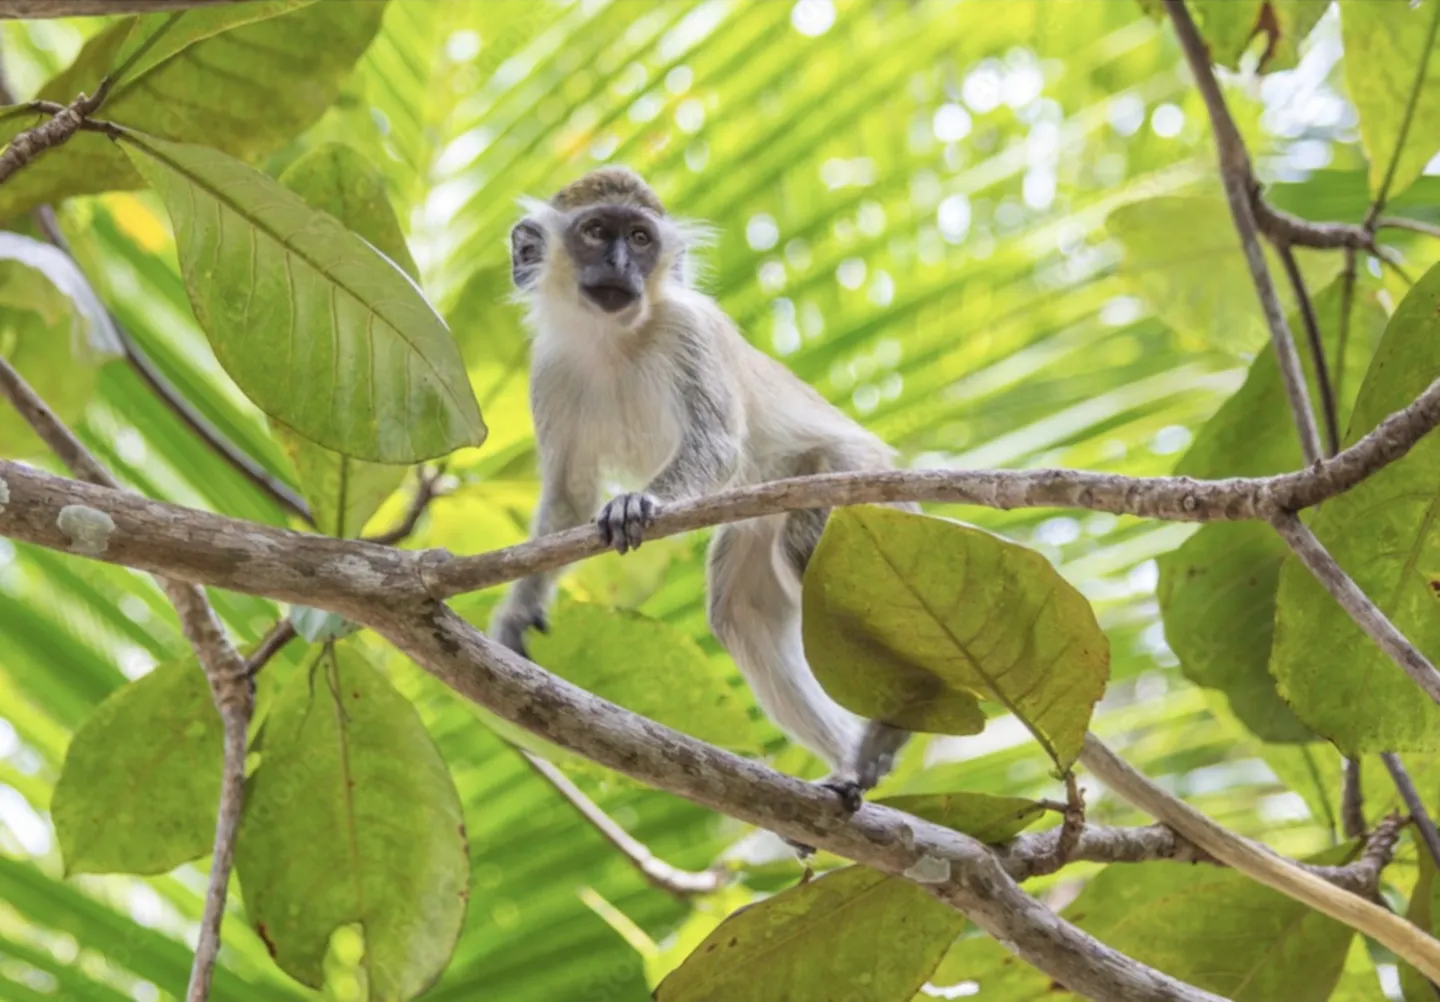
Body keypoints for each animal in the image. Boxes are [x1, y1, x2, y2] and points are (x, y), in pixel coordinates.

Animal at [489, 165, 911, 812]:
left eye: (640, 238)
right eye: (596, 231)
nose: (621, 265)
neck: (613, 340)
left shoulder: (689, 331)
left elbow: (716, 445)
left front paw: (636, 502)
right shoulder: (549, 370)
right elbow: (568, 495)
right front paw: (521, 606)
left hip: (850, 475)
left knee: (804, 543)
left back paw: (894, 723)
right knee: (739, 613)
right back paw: (852, 768)